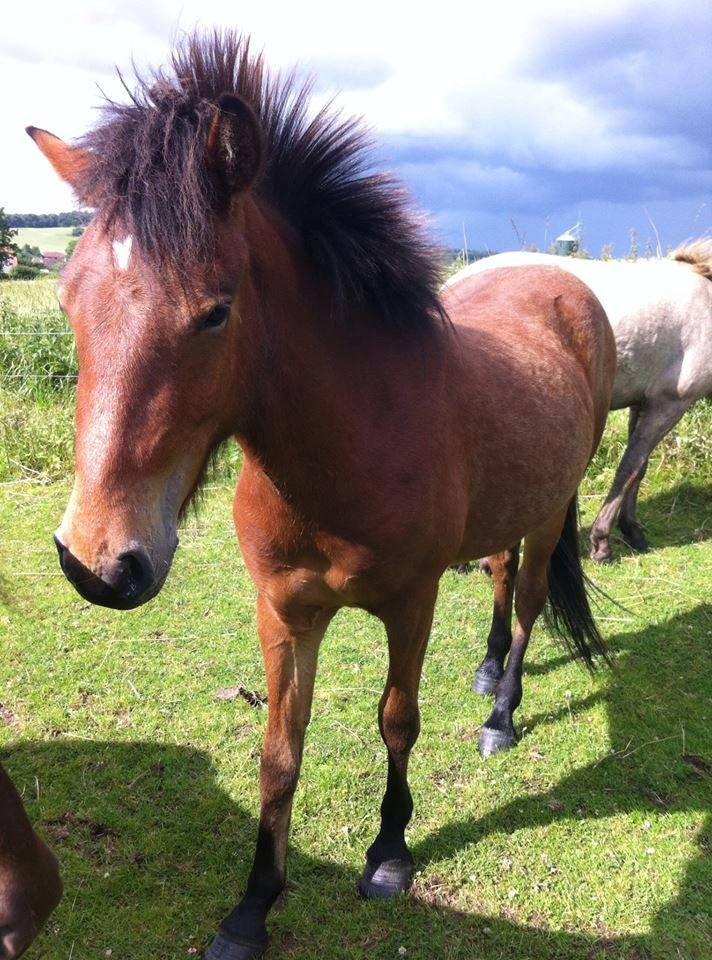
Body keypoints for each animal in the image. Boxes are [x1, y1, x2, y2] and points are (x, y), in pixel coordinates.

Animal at [27, 31, 616, 960]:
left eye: (215, 311)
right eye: (66, 299)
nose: (99, 563)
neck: (348, 451)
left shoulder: (410, 605)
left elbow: (398, 721)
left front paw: (389, 855)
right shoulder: (283, 610)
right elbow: (279, 751)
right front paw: (251, 907)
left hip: (551, 510)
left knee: (525, 602)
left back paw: (502, 710)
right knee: (496, 575)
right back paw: (487, 670)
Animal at [450, 248, 712, 564]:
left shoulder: (644, 403)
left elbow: (640, 467)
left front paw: (632, 531)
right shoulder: (669, 404)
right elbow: (629, 469)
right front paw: (602, 542)